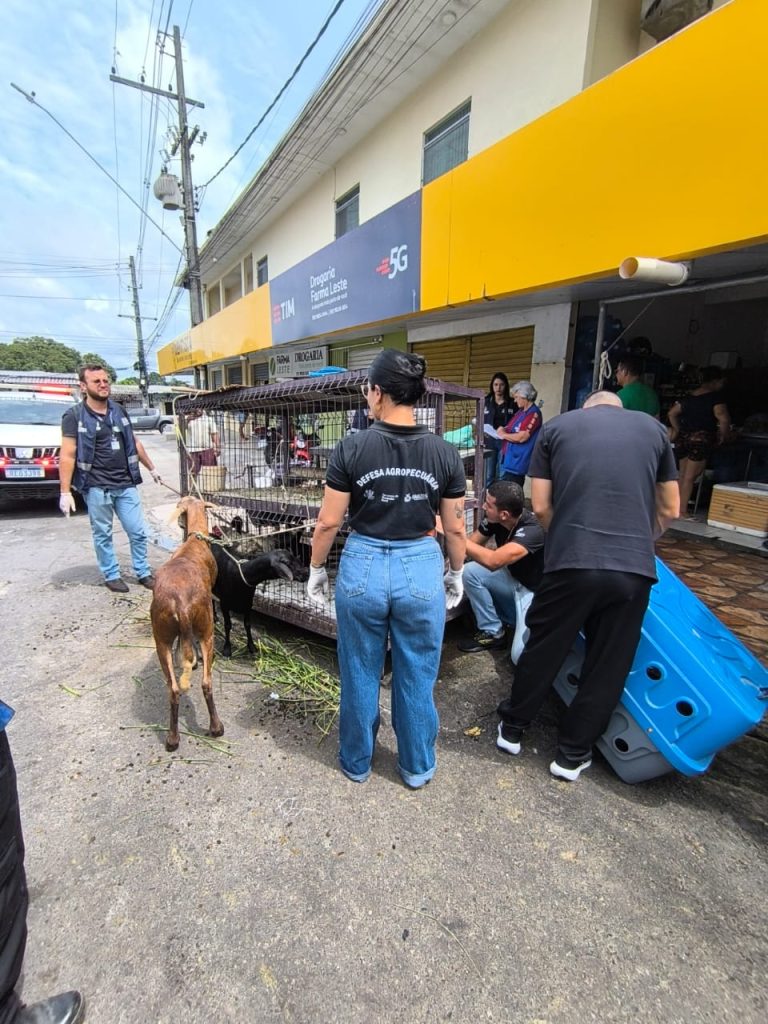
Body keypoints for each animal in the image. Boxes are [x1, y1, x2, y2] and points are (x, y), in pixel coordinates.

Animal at [151, 495, 221, 753]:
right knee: (206, 683)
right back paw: (216, 728)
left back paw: (172, 739)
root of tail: (179, 602)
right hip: (206, 629)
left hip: (161, 637)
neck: (193, 541)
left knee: (173, 689)